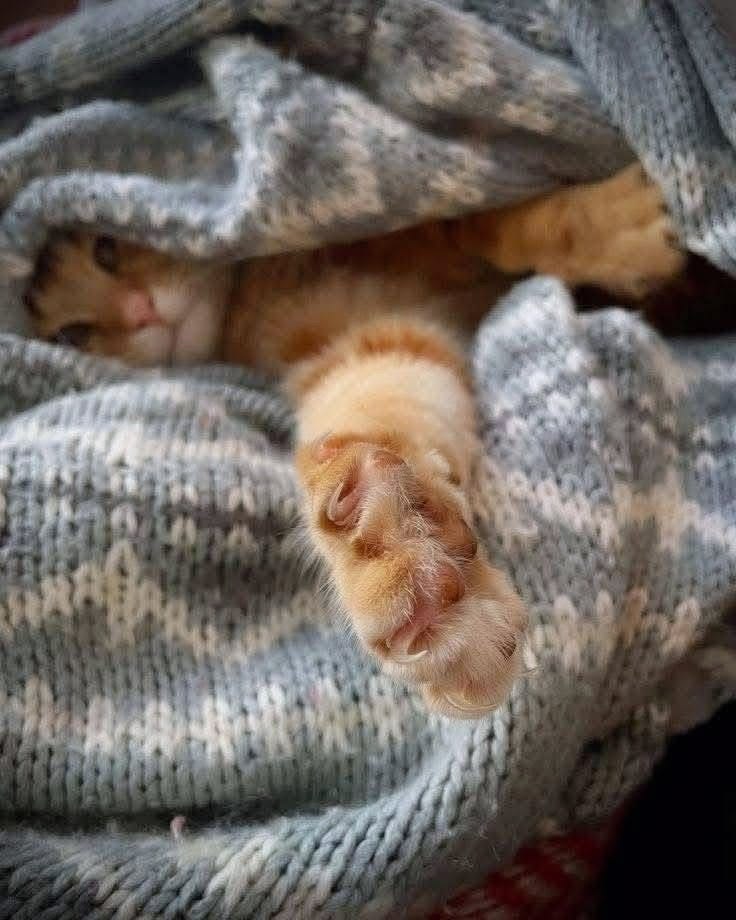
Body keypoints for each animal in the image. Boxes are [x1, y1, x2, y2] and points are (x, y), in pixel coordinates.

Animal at [25, 164, 685, 717]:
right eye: (72, 334)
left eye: (107, 245)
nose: (141, 313)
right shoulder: (363, 337)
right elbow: (379, 406)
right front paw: (398, 544)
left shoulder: (422, 220)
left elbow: (499, 225)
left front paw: (619, 224)